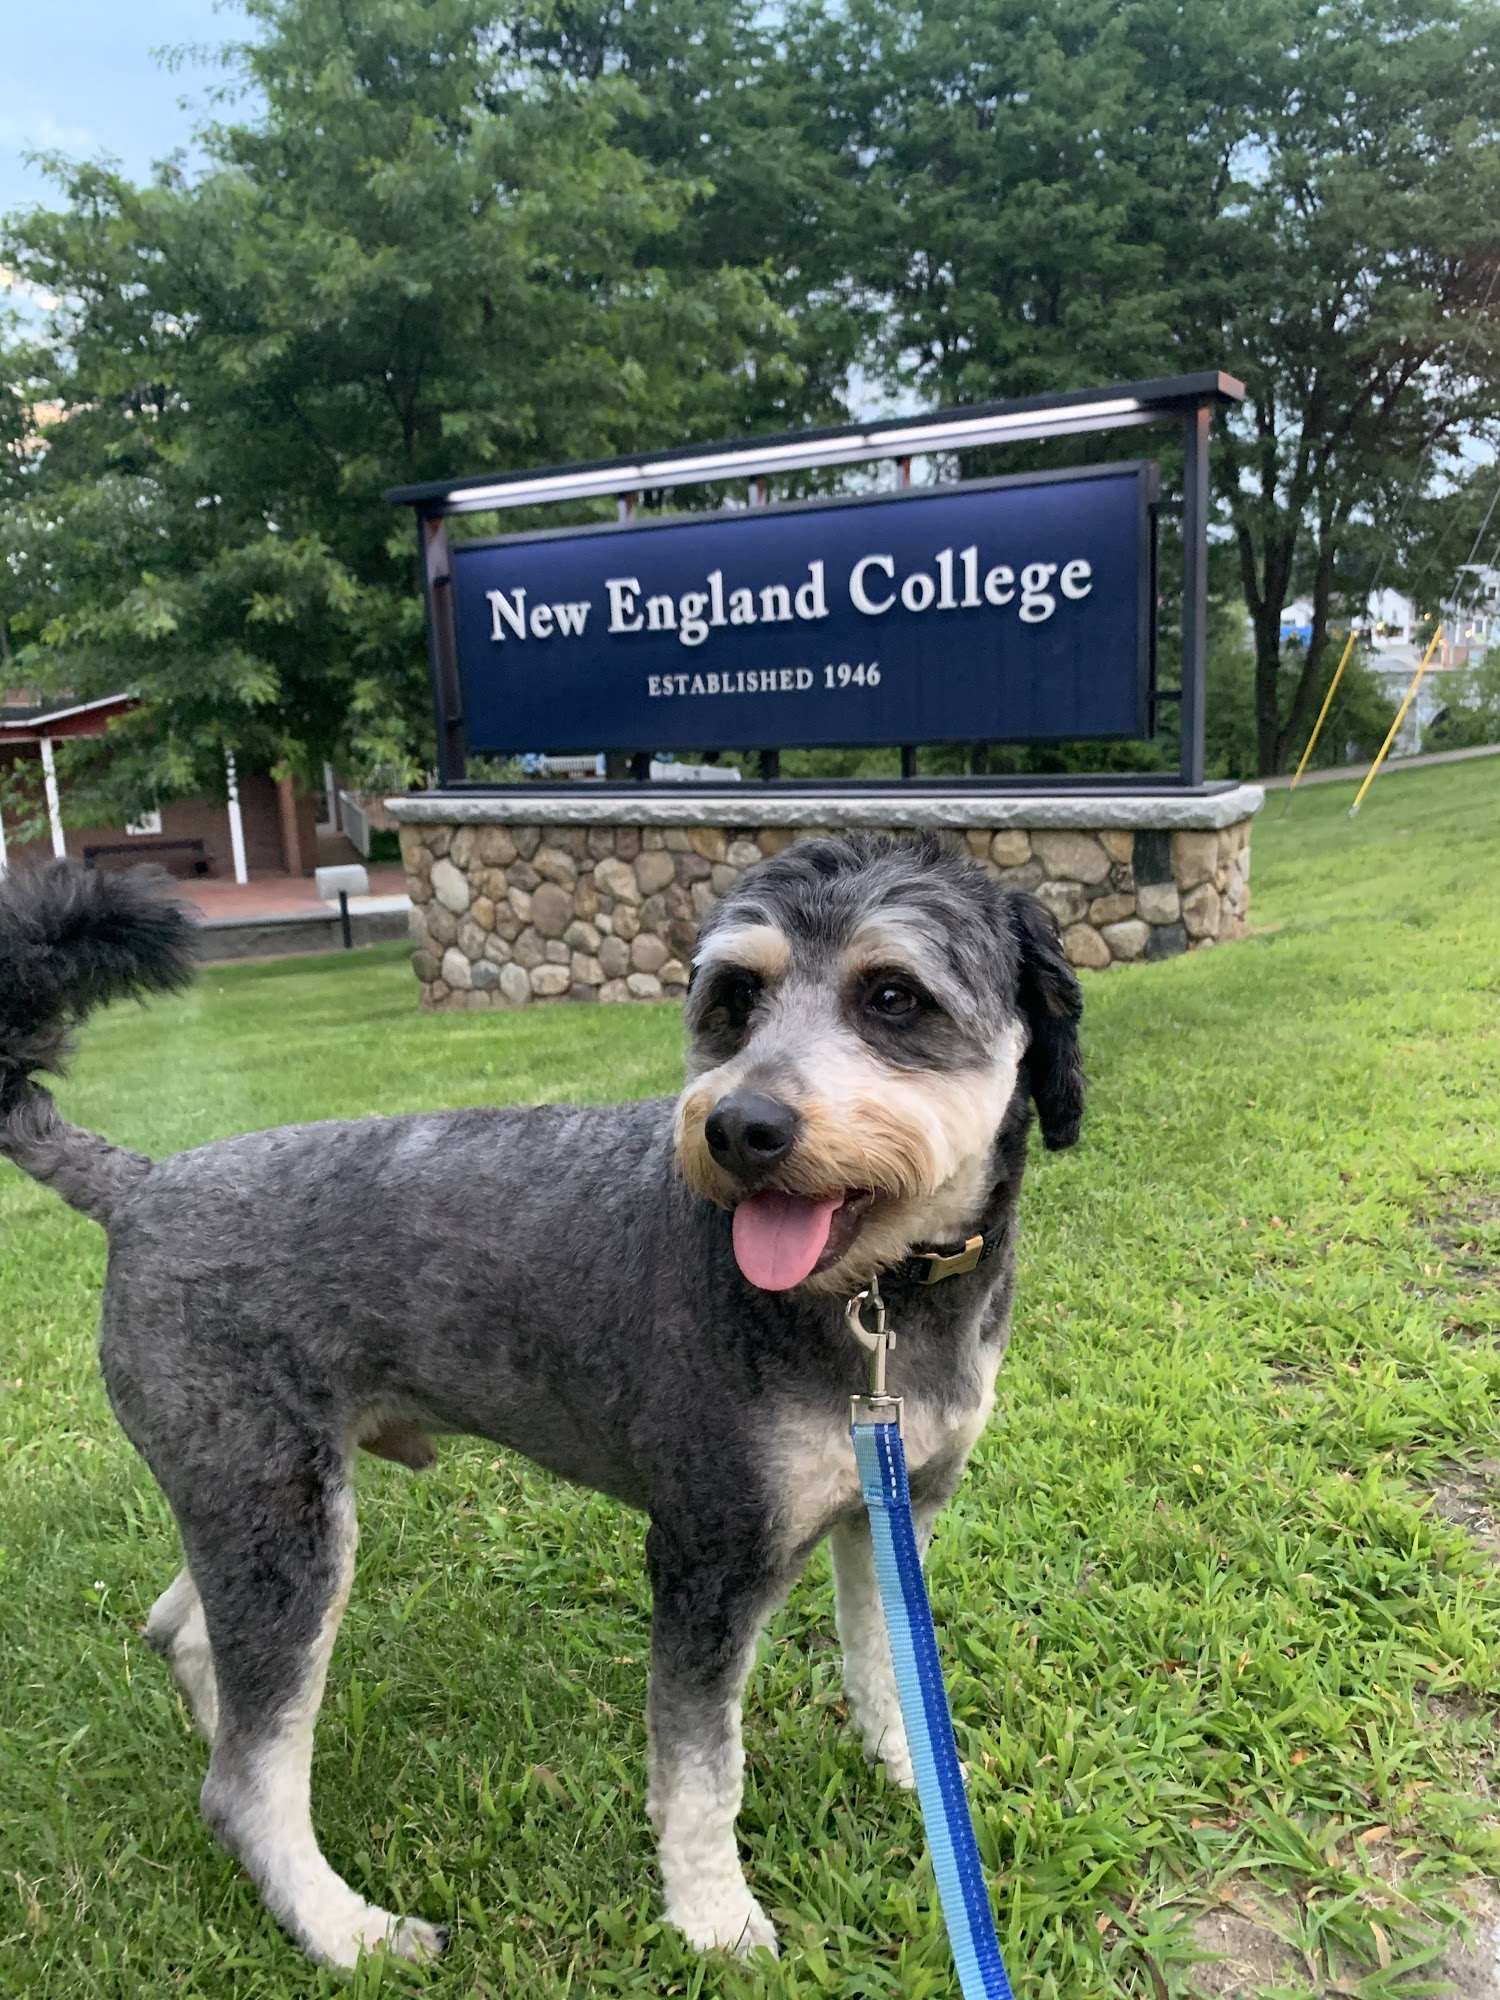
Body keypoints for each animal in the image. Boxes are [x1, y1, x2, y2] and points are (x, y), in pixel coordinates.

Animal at [0, 836, 1080, 1976]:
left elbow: (887, 1666)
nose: (741, 1126)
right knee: (243, 1787)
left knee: (186, 1636)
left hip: (252, 1505)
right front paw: (713, 1919)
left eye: (893, 996)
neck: (877, 1296)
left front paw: (921, 1784)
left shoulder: (890, 1513)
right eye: (736, 999)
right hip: (284, 1528)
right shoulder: (709, 1555)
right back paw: (348, 1929)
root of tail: (138, 1186)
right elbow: (701, 1771)